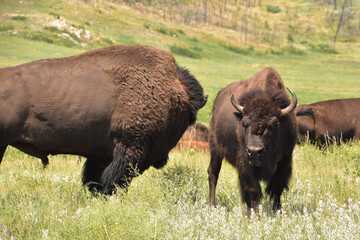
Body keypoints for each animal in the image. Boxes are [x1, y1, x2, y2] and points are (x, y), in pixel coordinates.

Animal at [0, 44, 207, 193]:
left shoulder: (102, 155)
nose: (162, 160)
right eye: (189, 119)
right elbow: (113, 183)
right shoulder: (129, 151)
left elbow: (95, 181)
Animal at [207, 67, 296, 212]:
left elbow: (277, 186)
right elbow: (252, 188)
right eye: (244, 123)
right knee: (213, 173)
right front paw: (253, 213)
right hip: (215, 149)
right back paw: (212, 206)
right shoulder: (245, 159)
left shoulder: (285, 158)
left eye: (274, 124)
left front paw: (277, 210)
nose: (254, 151)